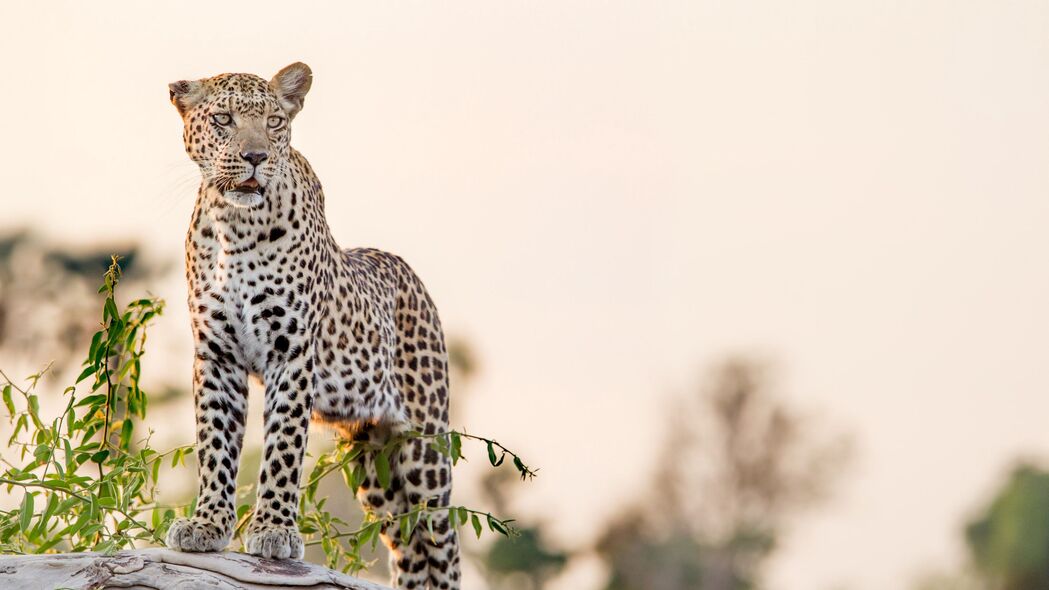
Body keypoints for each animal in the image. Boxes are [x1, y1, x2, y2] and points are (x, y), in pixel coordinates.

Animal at [163, 61, 459, 583]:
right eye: (223, 119)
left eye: (275, 122)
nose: (256, 156)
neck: (235, 228)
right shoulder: (216, 355)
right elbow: (215, 444)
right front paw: (207, 526)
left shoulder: (291, 352)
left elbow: (282, 446)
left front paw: (274, 532)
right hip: (374, 464)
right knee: (409, 546)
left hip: (425, 449)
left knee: (443, 545)